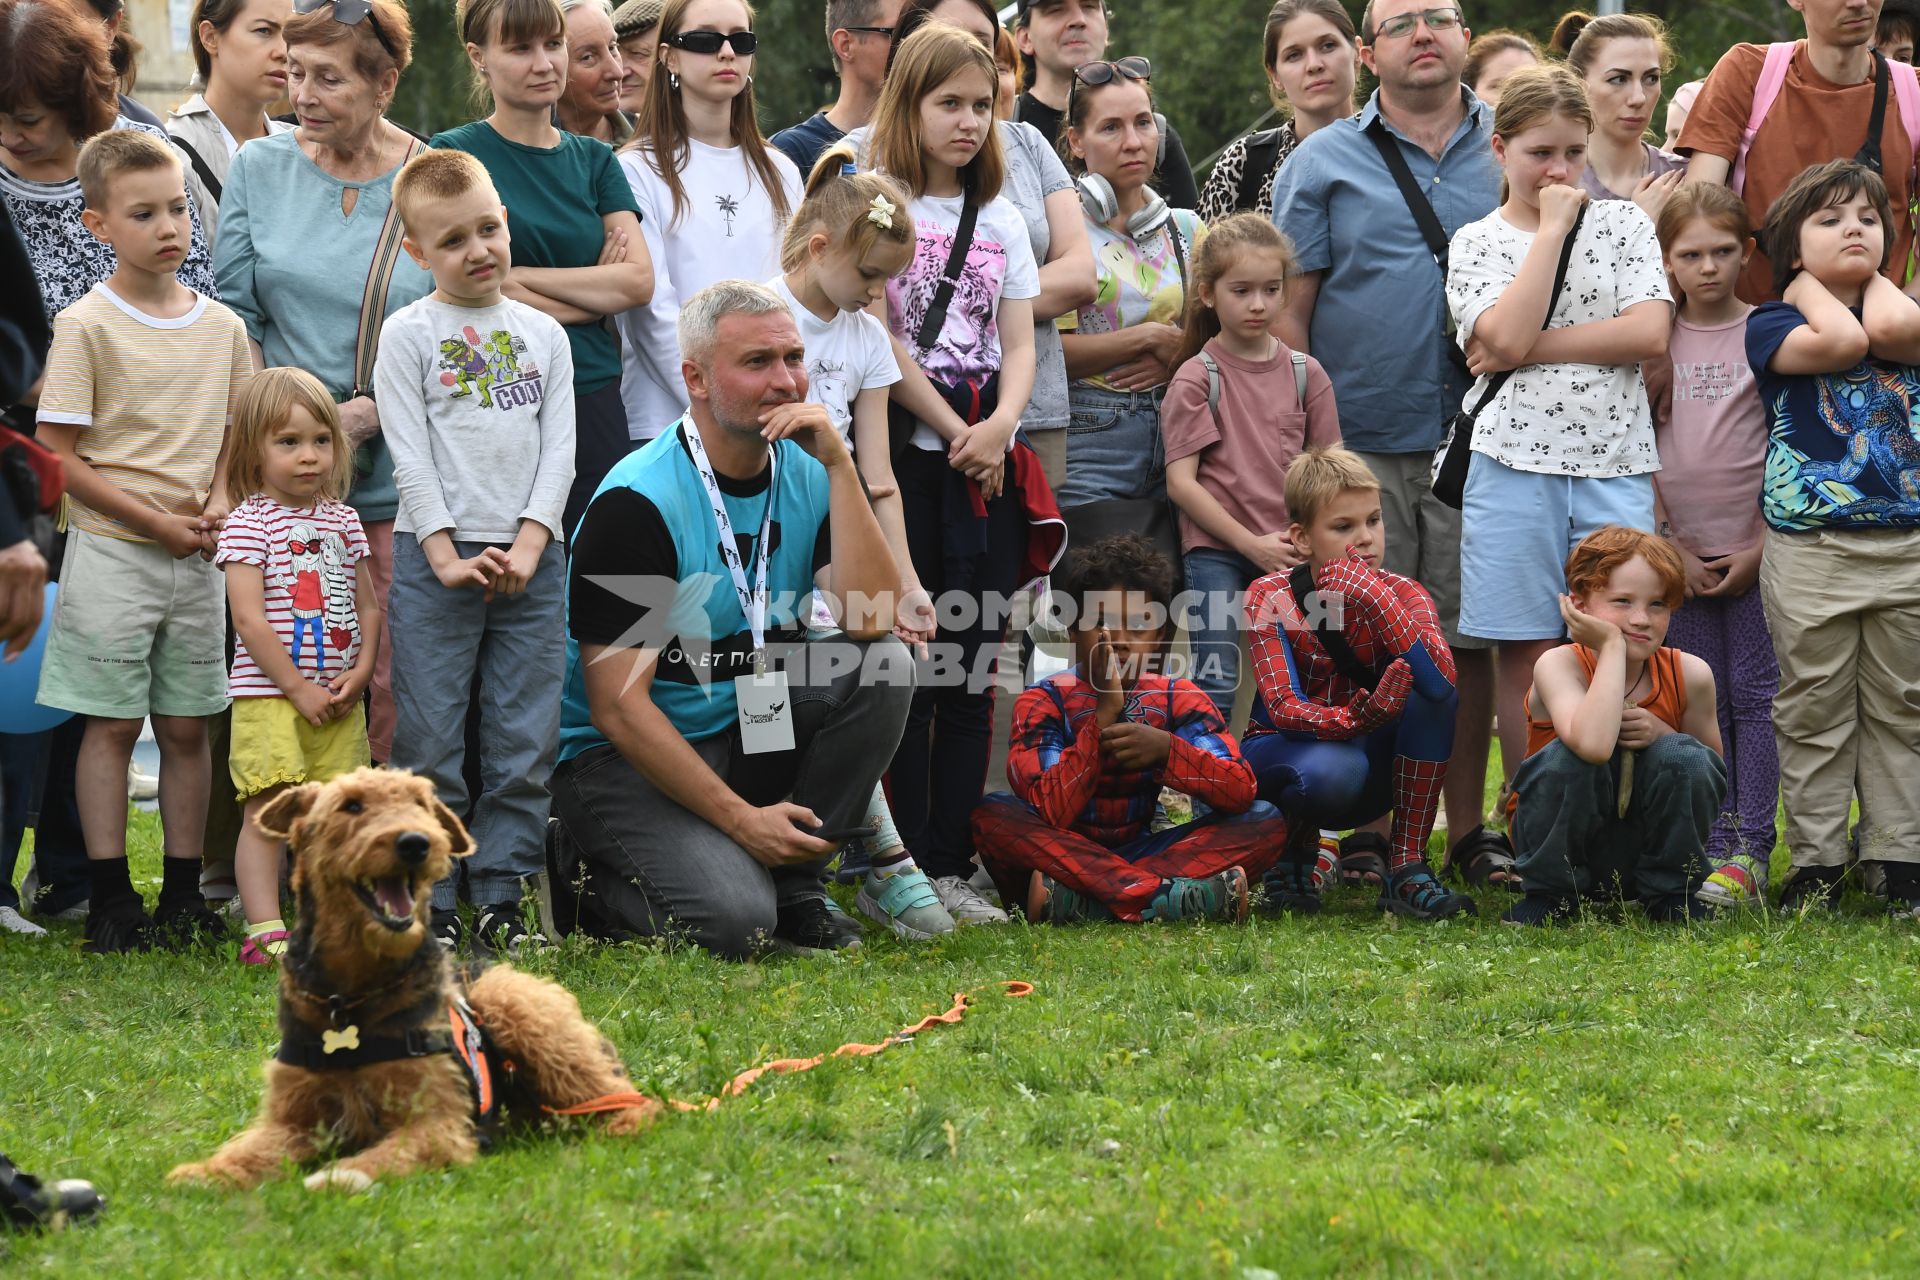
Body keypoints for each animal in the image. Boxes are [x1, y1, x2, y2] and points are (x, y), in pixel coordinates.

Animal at [167, 767, 660, 1197]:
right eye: (351, 804)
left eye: (421, 803)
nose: (415, 842)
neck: (350, 996)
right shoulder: (291, 1120)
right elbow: (246, 1152)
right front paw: (202, 1174)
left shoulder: (436, 1122)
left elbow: (384, 1155)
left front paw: (339, 1177)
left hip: (521, 1013)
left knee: (631, 1098)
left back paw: (621, 1125)